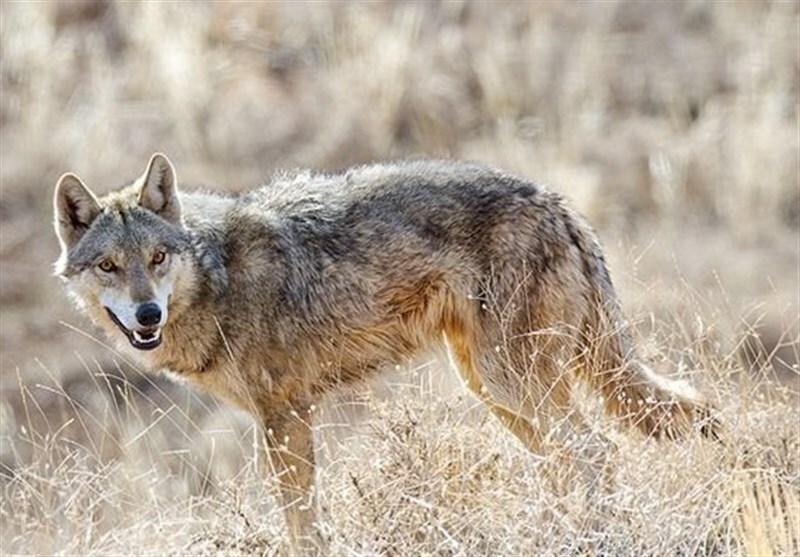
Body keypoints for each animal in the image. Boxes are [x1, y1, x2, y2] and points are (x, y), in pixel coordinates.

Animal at [56, 152, 720, 552]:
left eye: (157, 258)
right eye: (109, 266)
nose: (147, 315)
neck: (219, 279)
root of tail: (556, 201)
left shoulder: (285, 415)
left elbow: (302, 523)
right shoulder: (281, 419)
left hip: (512, 383)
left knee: (596, 450)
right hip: (495, 392)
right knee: (569, 460)